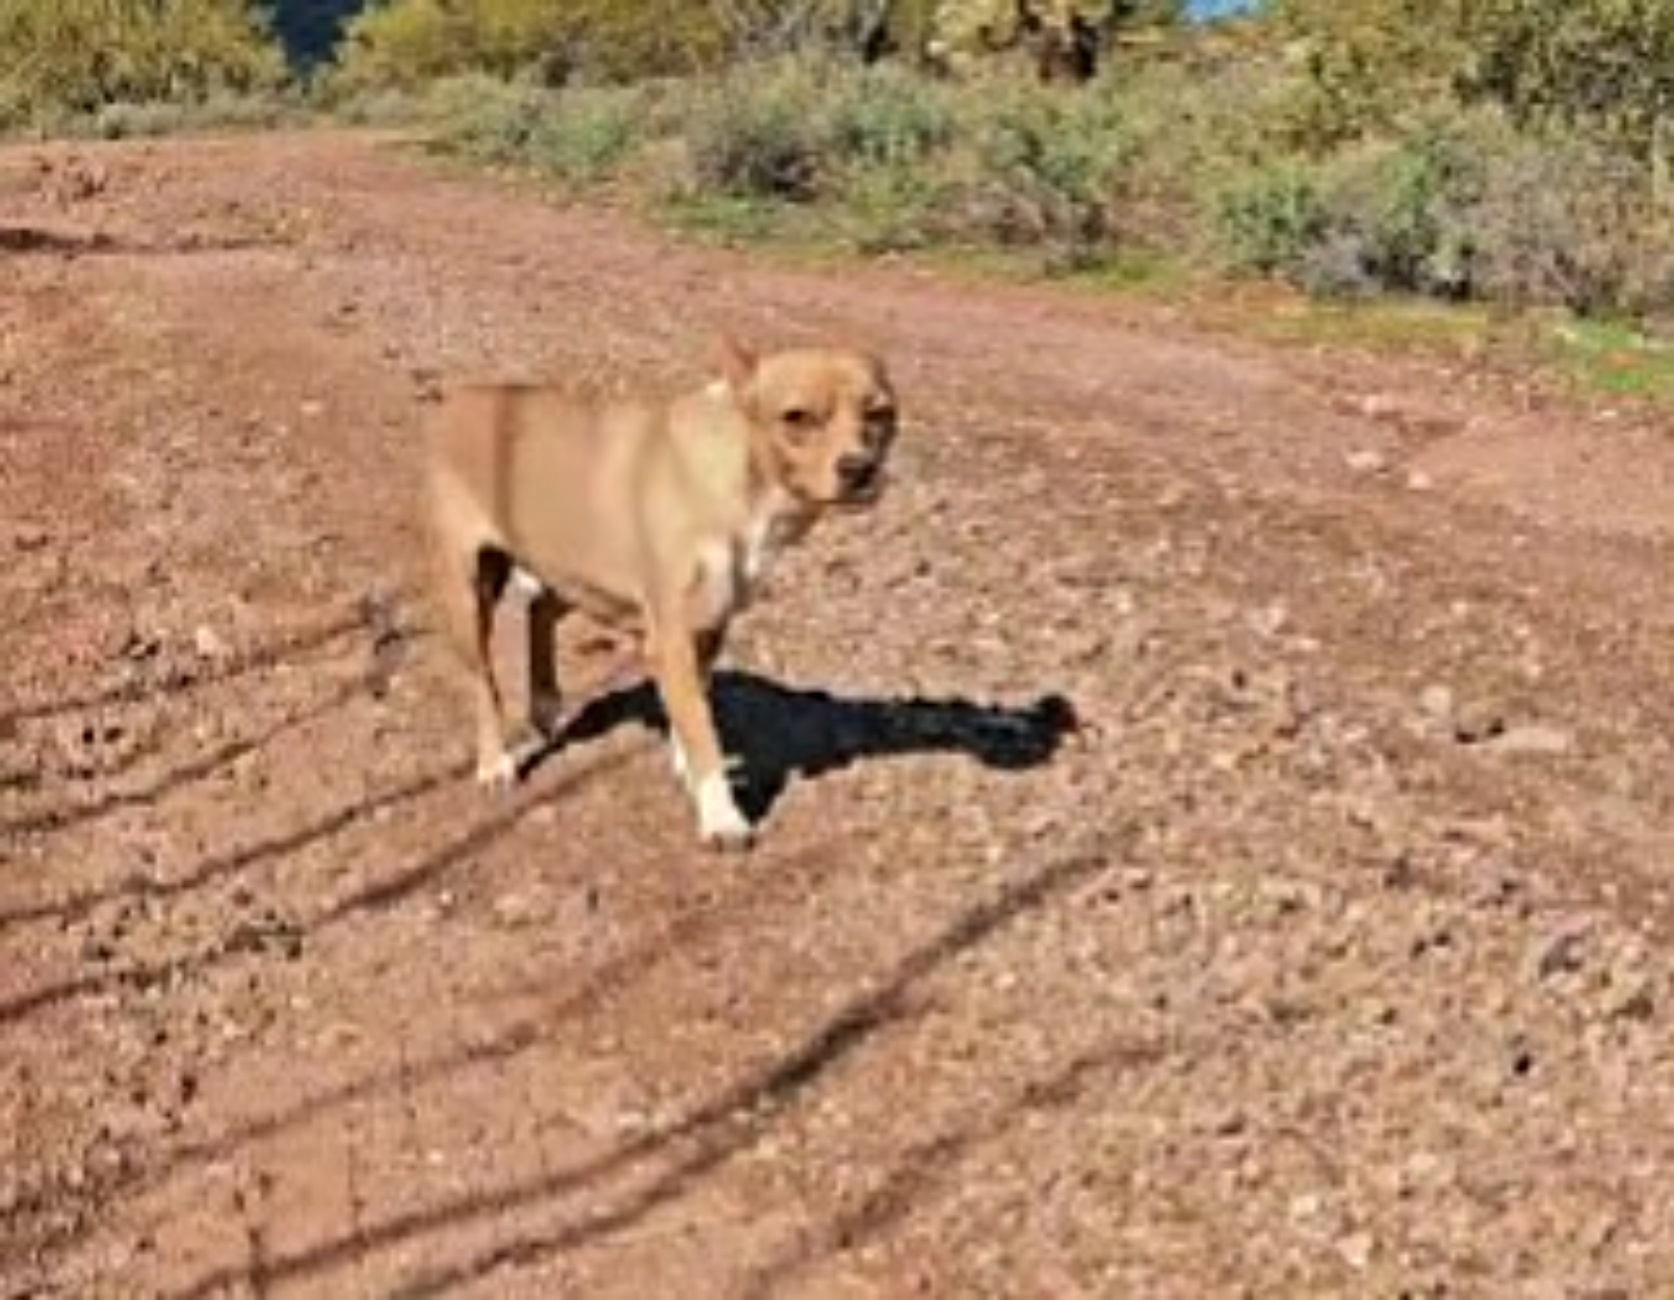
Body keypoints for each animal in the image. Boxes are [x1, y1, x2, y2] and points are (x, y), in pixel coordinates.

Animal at [425, 332, 903, 853]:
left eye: (880, 413)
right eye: (796, 417)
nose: (861, 469)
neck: (740, 478)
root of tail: (459, 399)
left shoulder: (709, 625)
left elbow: (694, 706)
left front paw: (686, 765)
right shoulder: (671, 635)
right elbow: (701, 726)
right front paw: (721, 816)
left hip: (577, 568)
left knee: (540, 607)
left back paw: (546, 702)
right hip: (469, 592)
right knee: (484, 681)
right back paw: (495, 762)